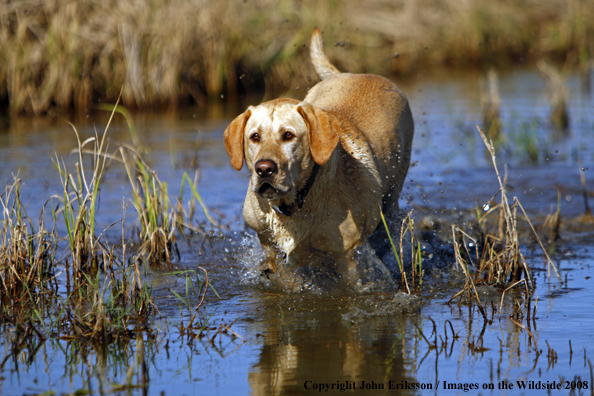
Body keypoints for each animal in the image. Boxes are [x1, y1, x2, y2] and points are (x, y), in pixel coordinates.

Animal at [222, 29, 412, 292]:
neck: (296, 204)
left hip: (393, 196)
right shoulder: (270, 246)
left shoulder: (348, 258)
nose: (264, 169)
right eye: (255, 137)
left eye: (288, 135)